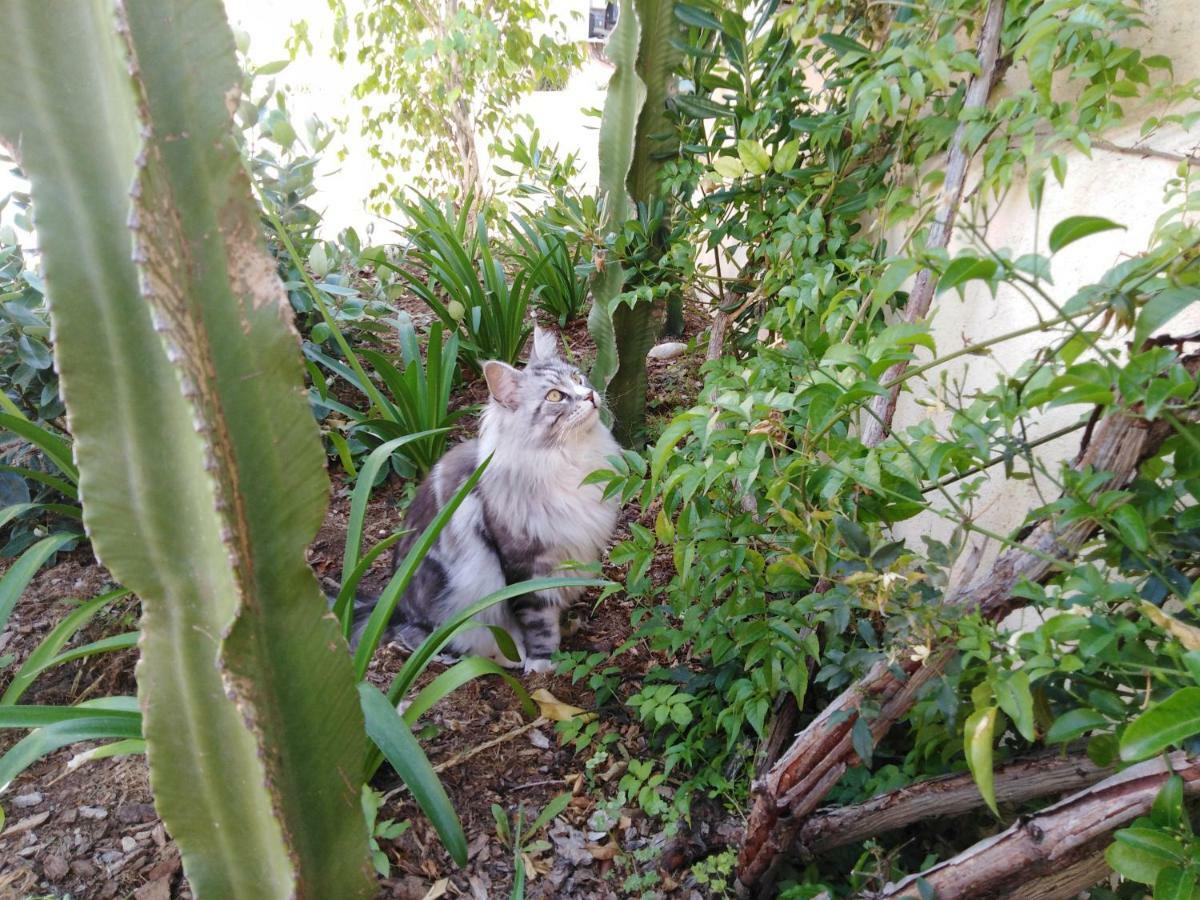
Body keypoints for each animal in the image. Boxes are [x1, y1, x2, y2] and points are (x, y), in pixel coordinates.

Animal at [350, 328, 619, 672]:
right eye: (555, 397)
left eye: (577, 378)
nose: (589, 395)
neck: (569, 461)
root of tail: (393, 608)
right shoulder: (524, 566)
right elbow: (538, 622)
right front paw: (542, 662)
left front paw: (563, 632)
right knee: (421, 639)